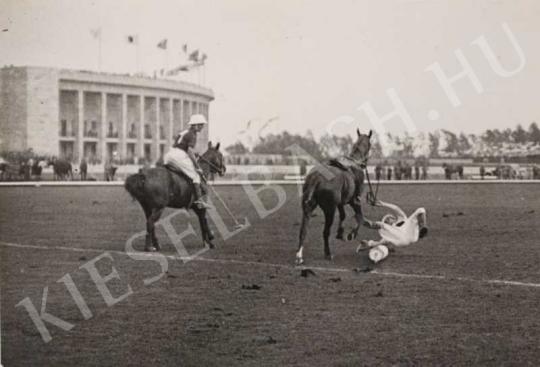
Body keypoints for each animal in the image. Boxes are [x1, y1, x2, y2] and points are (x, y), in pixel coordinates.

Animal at [296, 131, 372, 266]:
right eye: (370, 145)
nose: (364, 164)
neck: (354, 162)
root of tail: (317, 176)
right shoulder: (355, 201)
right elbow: (359, 217)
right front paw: (351, 234)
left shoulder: (340, 203)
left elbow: (343, 215)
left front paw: (340, 233)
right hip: (329, 211)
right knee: (325, 232)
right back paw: (328, 254)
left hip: (308, 208)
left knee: (303, 230)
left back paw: (299, 256)